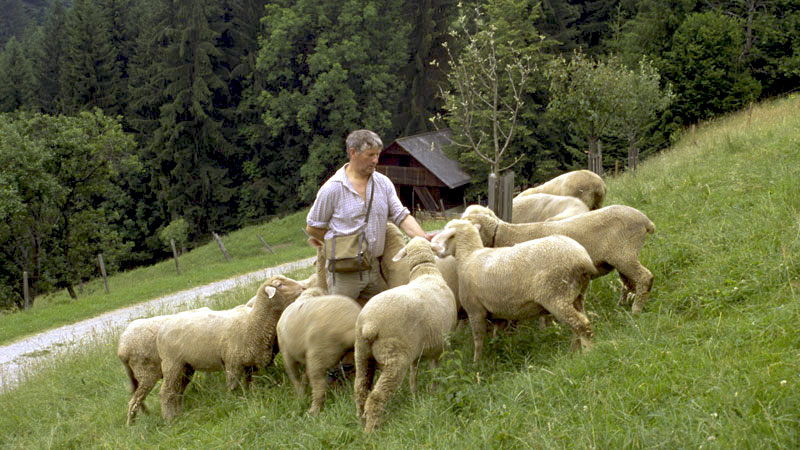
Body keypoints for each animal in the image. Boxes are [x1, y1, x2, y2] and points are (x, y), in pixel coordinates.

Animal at [156, 274, 304, 422]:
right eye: (279, 285)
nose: (303, 288)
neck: (252, 323)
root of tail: (162, 328)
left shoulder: (250, 364)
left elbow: (250, 382)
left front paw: (251, 394)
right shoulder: (233, 363)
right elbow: (233, 386)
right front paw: (233, 400)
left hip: (186, 366)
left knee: (177, 390)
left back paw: (178, 413)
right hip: (172, 364)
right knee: (166, 391)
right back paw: (169, 418)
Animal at [354, 237, 460, 434]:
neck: (425, 272)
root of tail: (369, 324)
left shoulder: (416, 349)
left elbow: (414, 372)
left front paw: (414, 393)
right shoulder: (440, 345)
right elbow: (435, 370)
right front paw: (434, 390)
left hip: (362, 353)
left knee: (360, 388)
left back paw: (361, 419)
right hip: (395, 357)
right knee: (377, 395)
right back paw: (371, 430)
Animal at [428, 220, 596, 364]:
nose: (436, 250)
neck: (469, 256)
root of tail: (583, 259)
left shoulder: (475, 310)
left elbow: (478, 340)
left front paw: (477, 363)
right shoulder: (498, 312)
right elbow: (497, 336)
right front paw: (499, 353)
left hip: (556, 294)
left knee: (581, 325)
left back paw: (587, 354)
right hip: (578, 295)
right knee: (580, 324)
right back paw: (573, 353)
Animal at [462, 204, 656, 312]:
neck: (506, 235)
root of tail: (646, 221)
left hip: (624, 253)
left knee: (644, 277)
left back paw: (636, 310)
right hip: (621, 257)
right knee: (629, 283)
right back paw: (622, 305)